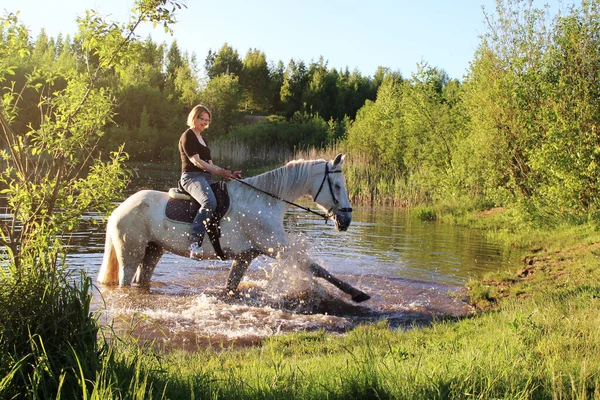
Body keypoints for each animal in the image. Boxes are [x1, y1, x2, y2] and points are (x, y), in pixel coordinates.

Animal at [97, 154, 370, 304]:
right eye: (337, 185)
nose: (346, 220)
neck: (264, 201)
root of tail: (119, 210)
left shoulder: (245, 257)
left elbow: (231, 287)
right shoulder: (277, 248)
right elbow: (317, 269)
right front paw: (357, 294)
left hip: (153, 251)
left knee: (141, 281)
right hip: (130, 253)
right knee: (124, 283)